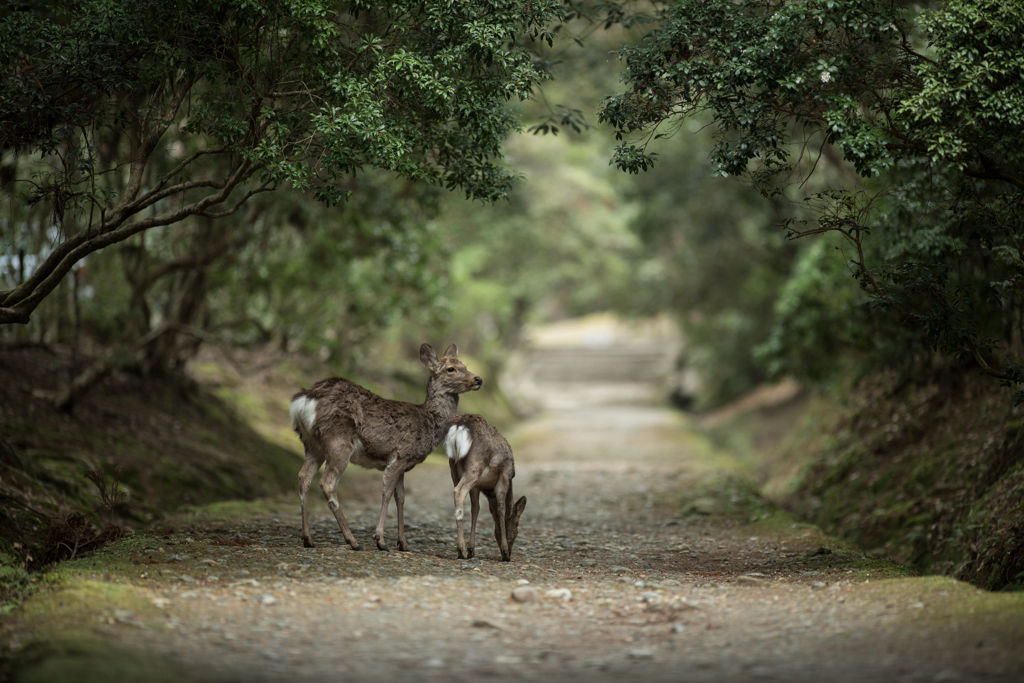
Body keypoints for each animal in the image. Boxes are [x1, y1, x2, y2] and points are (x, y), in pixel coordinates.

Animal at [288, 344, 479, 552]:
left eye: (465, 365)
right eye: (451, 369)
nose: (478, 379)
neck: (427, 423)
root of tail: (303, 401)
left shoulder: (404, 464)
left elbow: (401, 498)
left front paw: (403, 543)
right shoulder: (400, 455)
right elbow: (386, 493)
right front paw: (380, 540)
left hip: (312, 444)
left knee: (303, 477)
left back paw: (308, 538)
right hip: (338, 441)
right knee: (327, 483)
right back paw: (352, 540)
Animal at [444, 413, 528, 565]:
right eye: (517, 531)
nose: (510, 554)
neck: (488, 490)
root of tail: (459, 425)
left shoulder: (477, 486)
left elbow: (475, 508)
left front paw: (472, 549)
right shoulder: (505, 475)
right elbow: (501, 508)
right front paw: (504, 550)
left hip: (453, 466)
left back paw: (463, 549)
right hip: (474, 465)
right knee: (459, 491)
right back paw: (461, 550)